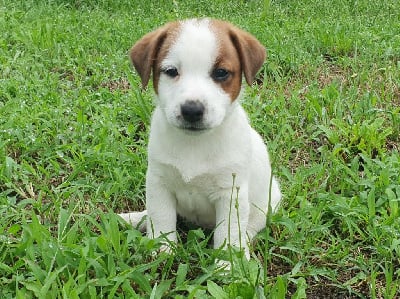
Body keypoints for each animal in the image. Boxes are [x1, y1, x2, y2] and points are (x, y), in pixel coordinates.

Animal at [119, 18, 282, 260]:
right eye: (171, 71)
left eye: (221, 72)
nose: (192, 110)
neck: (194, 144)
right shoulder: (158, 181)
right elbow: (161, 217)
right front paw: (162, 250)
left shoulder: (230, 193)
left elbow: (229, 233)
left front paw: (228, 264)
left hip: (267, 204)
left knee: (251, 227)